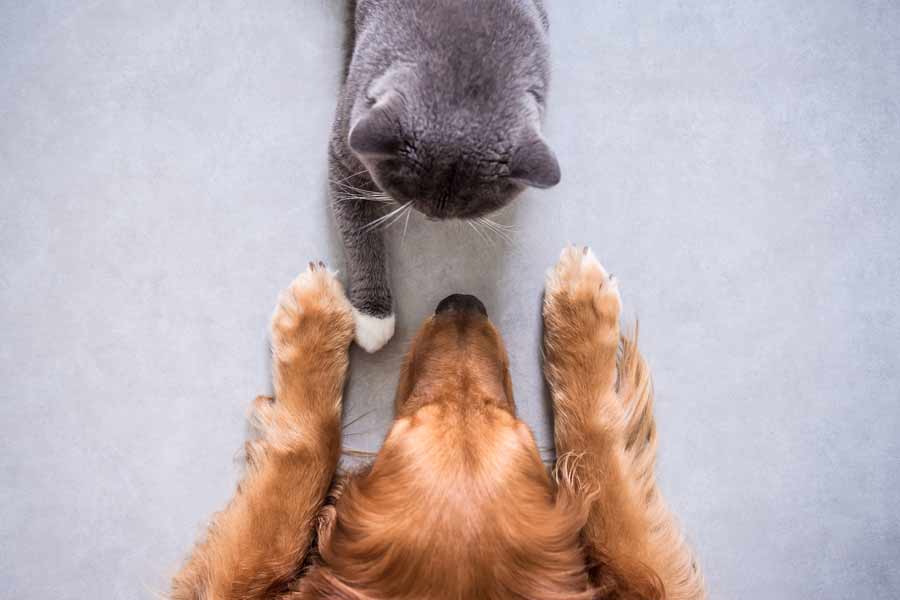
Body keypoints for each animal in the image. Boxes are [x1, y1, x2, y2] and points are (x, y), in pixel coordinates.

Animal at [326, 0, 560, 354]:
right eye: (407, 192)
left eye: (468, 206)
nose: (433, 216)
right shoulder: (344, 151)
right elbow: (359, 229)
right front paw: (372, 318)